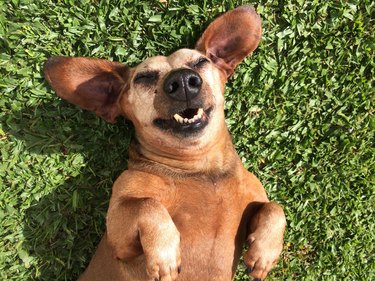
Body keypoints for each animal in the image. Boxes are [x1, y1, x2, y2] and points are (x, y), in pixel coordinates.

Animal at [43, 4, 284, 280]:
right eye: (144, 77)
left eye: (200, 62)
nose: (183, 81)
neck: (201, 169)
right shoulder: (118, 238)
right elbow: (148, 205)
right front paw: (165, 255)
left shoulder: (255, 200)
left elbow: (275, 208)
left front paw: (264, 252)